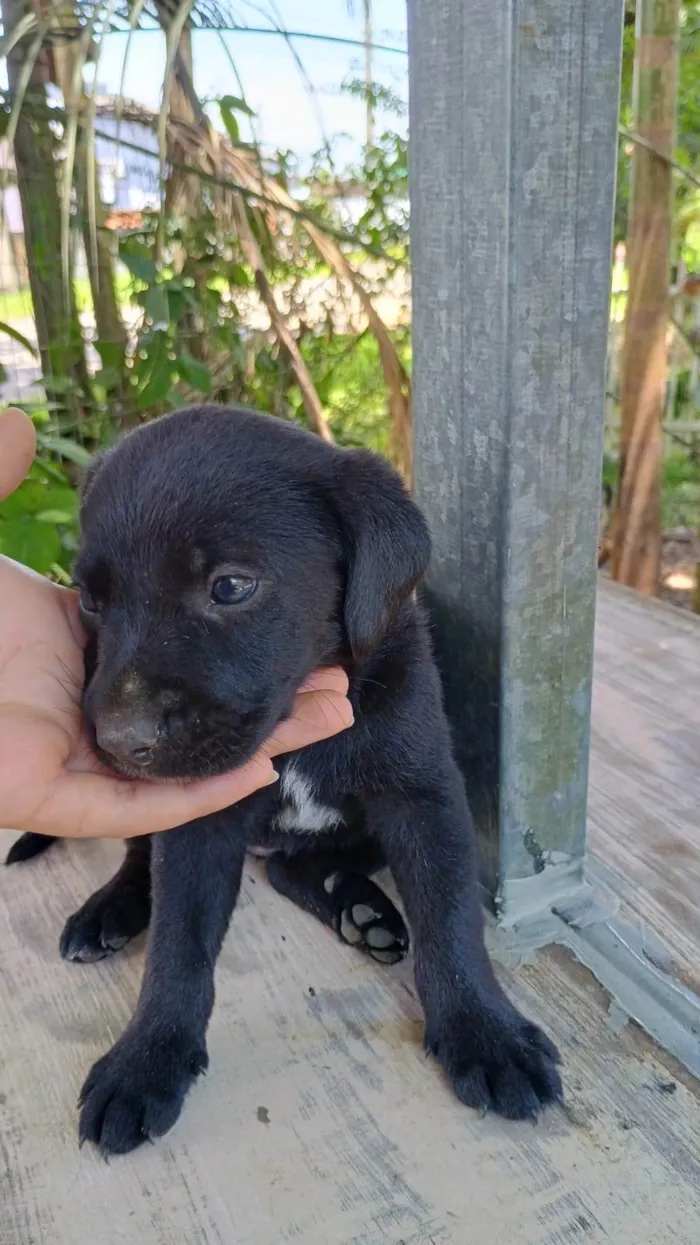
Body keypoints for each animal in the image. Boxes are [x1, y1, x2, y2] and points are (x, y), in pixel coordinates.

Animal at [8, 408, 558, 1155]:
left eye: (231, 586)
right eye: (92, 602)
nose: (121, 741)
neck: (297, 729)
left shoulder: (423, 794)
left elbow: (450, 920)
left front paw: (486, 1032)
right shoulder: (196, 821)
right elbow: (178, 944)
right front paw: (147, 1059)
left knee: (293, 868)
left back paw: (362, 912)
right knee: (147, 857)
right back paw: (110, 910)